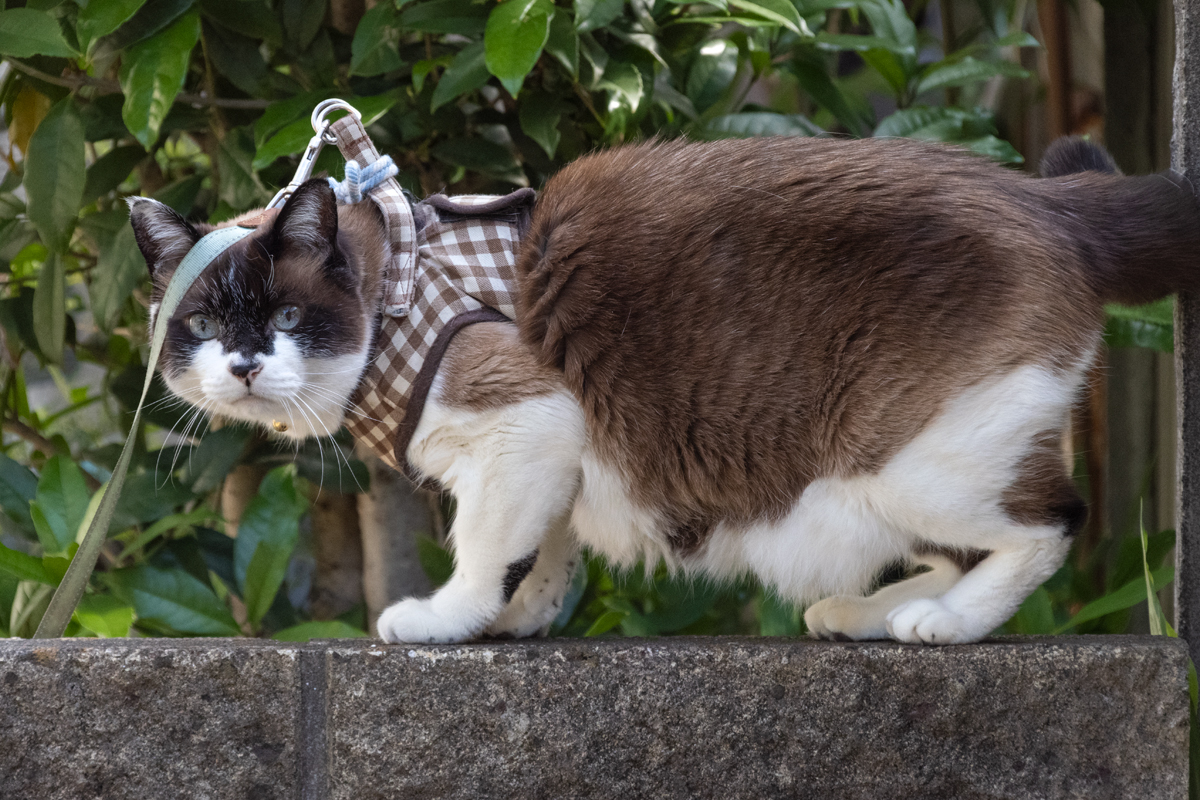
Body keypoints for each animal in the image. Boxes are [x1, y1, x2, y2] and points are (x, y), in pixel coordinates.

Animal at [126, 136, 1200, 642]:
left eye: (283, 317)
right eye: (205, 327)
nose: (243, 363)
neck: (395, 292)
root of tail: (1048, 202)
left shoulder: (524, 425)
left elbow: (483, 547)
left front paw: (447, 621)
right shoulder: (551, 460)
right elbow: (542, 553)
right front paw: (519, 622)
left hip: (912, 461)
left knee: (1050, 523)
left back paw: (942, 625)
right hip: (886, 487)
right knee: (953, 552)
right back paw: (864, 616)